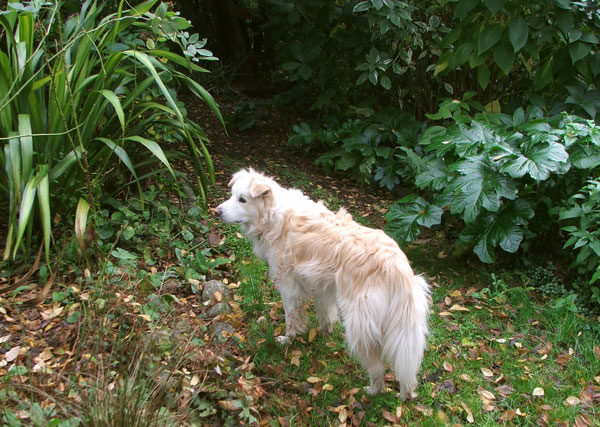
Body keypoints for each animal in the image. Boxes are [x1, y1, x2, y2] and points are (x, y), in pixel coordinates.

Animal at [213, 169, 428, 400]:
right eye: (232, 194)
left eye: (242, 200)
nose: (216, 211)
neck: (274, 215)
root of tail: (394, 264)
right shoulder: (322, 287)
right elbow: (324, 313)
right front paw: (324, 332)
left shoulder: (288, 287)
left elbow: (292, 319)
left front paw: (288, 339)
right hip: (403, 329)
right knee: (406, 370)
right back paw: (406, 394)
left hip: (358, 324)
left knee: (378, 366)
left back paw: (372, 391)